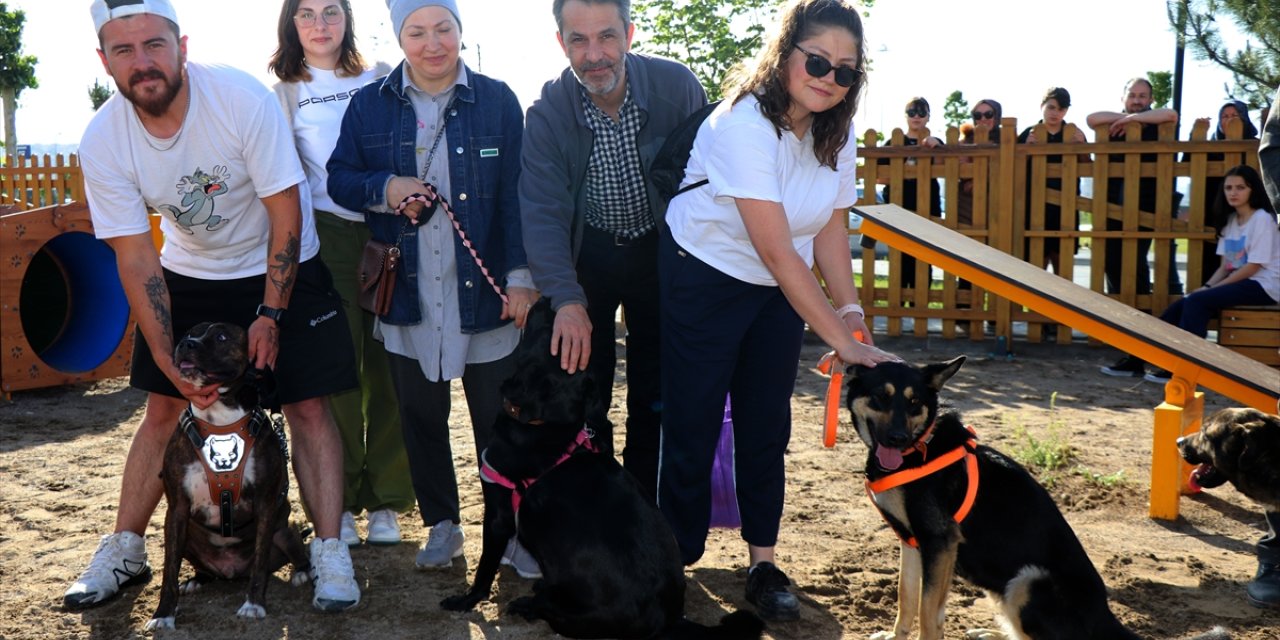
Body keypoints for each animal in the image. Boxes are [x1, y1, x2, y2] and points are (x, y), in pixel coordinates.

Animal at [144, 320, 311, 629]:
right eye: (188, 333)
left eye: (221, 337)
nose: (185, 344)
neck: (217, 417)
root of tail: (230, 571)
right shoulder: (177, 510)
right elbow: (169, 572)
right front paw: (163, 615)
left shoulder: (266, 505)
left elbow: (259, 564)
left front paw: (254, 604)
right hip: (187, 537)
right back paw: (197, 579)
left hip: (284, 529)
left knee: (291, 548)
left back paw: (303, 571)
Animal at [440, 299, 757, 640]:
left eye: (551, 330)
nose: (547, 301)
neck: (549, 425)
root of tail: (670, 618)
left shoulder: (498, 515)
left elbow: (485, 568)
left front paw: (466, 600)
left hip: (567, 607)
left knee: (546, 607)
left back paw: (527, 603)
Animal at [849, 358, 1141, 637]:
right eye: (881, 396)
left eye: (914, 402)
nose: (898, 438)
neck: (922, 444)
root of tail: (1105, 618)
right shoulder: (911, 541)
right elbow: (906, 597)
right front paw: (894, 635)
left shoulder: (940, 543)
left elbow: (928, 614)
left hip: (1028, 581)